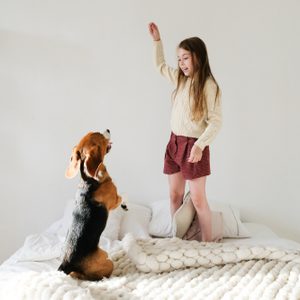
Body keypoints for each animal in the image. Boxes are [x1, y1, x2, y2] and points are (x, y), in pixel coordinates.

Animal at [58, 130, 125, 280]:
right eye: (99, 134)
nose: (108, 129)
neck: (89, 180)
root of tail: (67, 263)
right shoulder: (114, 200)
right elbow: (121, 197)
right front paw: (125, 205)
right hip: (107, 260)